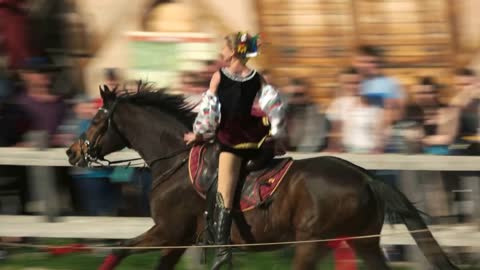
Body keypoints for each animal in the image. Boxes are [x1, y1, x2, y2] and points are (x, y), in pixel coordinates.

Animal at [64, 85, 458, 270]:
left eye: (97, 119)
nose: (72, 151)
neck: (174, 160)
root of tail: (365, 177)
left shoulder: (168, 232)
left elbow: (119, 247)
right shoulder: (177, 240)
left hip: (312, 242)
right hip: (362, 242)